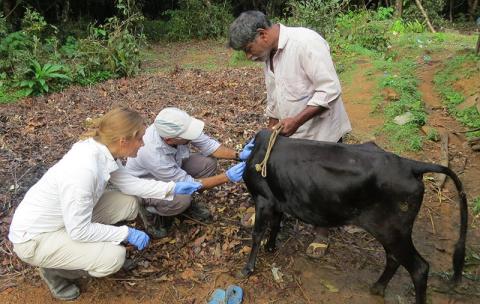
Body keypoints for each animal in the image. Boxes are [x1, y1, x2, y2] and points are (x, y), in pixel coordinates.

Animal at [242, 130, 466, 304]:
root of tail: (410, 165)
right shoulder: (276, 201)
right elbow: (275, 224)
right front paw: (271, 247)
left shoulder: (262, 199)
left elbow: (257, 234)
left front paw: (248, 268)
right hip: (391, 231)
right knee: (394, 258)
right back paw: (377, 287)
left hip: (393, 230)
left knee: (419, 268)